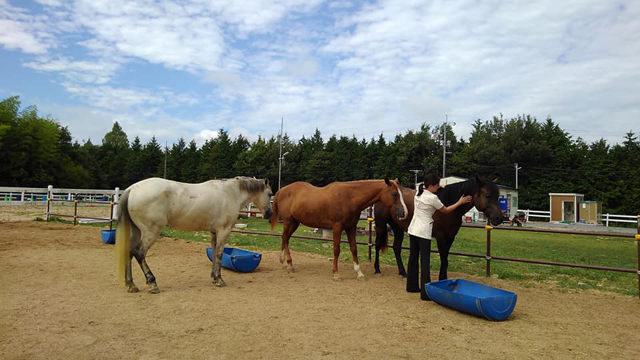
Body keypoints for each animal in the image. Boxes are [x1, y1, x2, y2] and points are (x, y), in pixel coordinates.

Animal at [115, 176, 272, 292]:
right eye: (270, 194)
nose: (269, 214)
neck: (232, 193)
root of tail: (131, 189)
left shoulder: (214, 232)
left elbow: (214, 253)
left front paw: (214, 277)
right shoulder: (224, 230)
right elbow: (219, 254)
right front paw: (219, 279)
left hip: (136, 231)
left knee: (129, 252)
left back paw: (131, 284)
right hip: (151, 232)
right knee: (139, 253)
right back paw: (152, 283)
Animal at [268, 177, 408, 282]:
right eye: (394, 194)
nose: (404, 212)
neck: (349, 198)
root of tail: (282, 190)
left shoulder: (351, 227)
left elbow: (354, 248)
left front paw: (359, 273)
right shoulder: (337, 227)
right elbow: (336, 249)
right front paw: (336, 274)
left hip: (295, 222)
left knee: (285, 238)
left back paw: (283, 262)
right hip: (288, 221)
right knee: (285, 238)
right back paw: (290, 264)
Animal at [372, 176, 502, 280]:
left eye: (498, 196)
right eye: (488, 196)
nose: (499, 218)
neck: (448, 206)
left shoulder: (450, 238)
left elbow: (446, 260)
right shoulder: (441, 237)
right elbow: (443, 259)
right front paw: (442, 278)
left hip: (397, 227)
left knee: (396, 248)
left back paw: (403, 273)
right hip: (380, 225)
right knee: (377, 245)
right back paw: (377, 269)